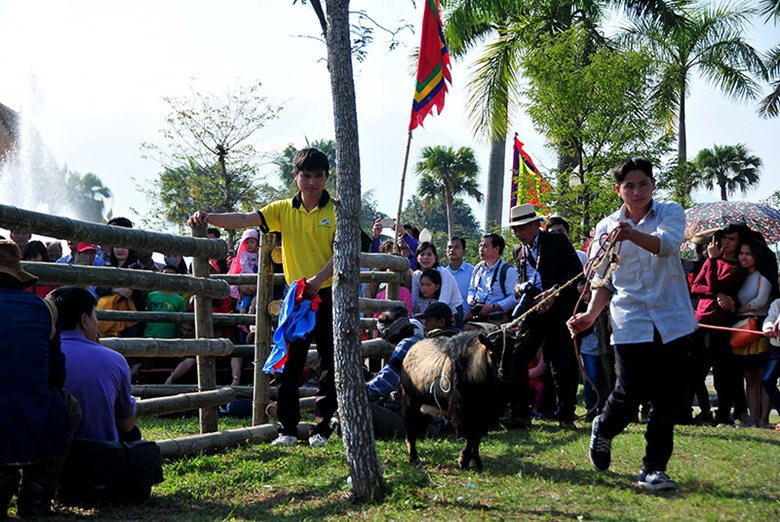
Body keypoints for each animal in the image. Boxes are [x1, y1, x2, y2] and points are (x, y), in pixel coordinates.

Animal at [400, 328, 516, 470]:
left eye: (513, 349)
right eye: (491, 350)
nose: (505, 375)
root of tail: (410, 351)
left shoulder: (483, 414)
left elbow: (477, 437)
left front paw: (476, 461)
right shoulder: (462, 411)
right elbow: (470, 436)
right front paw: (464, 461)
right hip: (410, 401)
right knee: (411, 429)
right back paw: (413, 457)